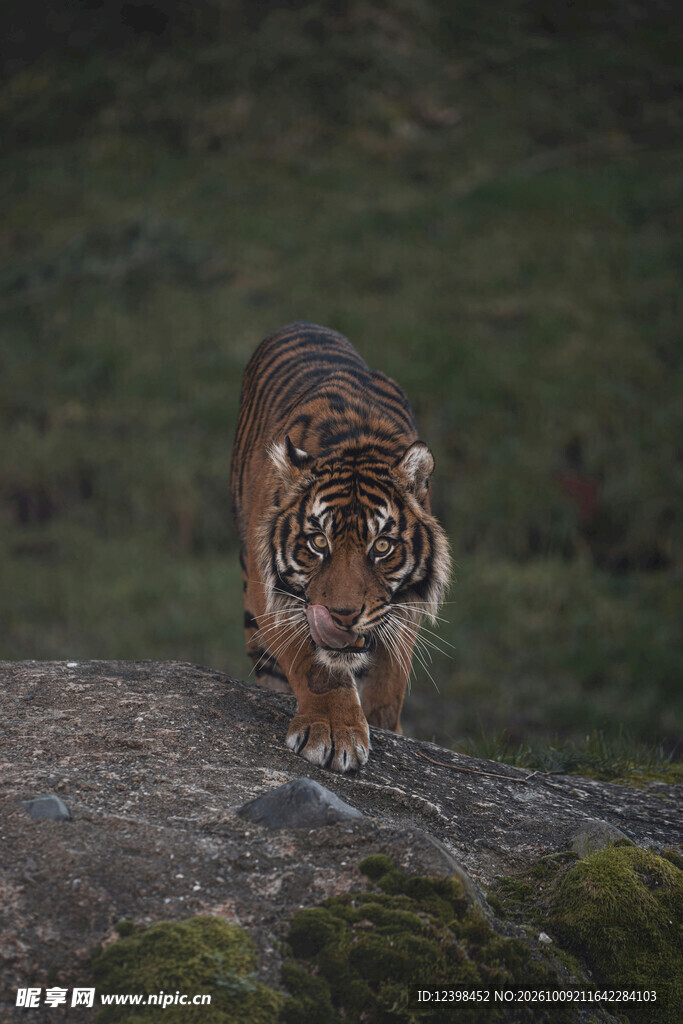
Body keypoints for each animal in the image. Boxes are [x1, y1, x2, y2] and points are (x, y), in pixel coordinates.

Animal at [230, 322, 451, 773]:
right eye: (318, 541)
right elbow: (318, 667)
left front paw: (383, 726)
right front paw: (333, 732)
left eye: (382, 546)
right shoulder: (272, 597)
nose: (343, 616)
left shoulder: (404, 609)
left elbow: (389, 681)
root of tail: (302, 323)